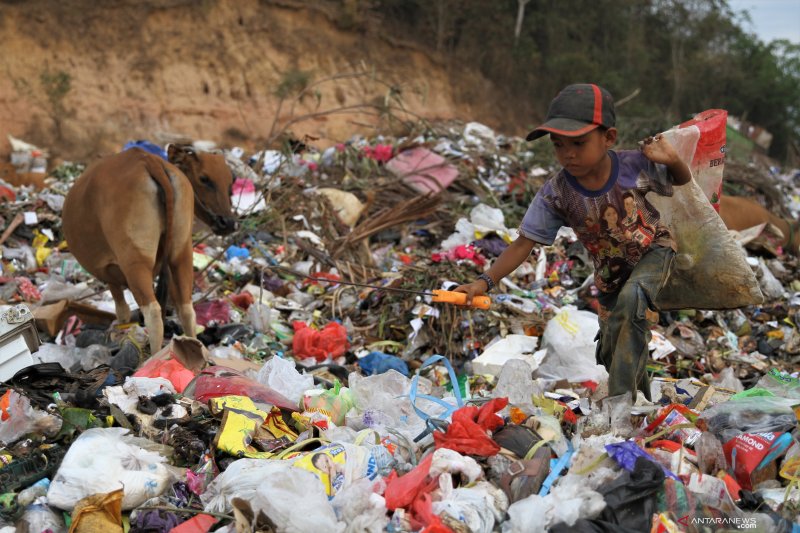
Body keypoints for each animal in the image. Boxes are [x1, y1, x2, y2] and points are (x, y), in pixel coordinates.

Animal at [61, 145, 236, 354]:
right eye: (204, 179)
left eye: (230, 184)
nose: (227, 223)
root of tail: (149, 160)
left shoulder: (112, 275)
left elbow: (122, 311)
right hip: (182, 254)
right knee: (186, 310)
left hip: (135, 260)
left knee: (153, 312)